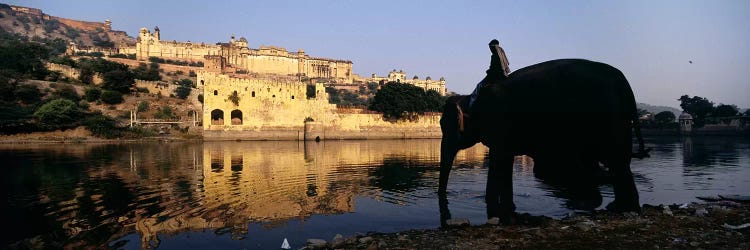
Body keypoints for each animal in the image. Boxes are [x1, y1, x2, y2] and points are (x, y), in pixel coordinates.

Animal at [440, 56, 652, 219]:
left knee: (613, 162)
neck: (470, 98)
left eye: (444, 125)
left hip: (607, 119)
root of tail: (625, 84)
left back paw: (617, 207)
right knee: (617, 163)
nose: (444, 198)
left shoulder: (499, 125)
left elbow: (500, 162)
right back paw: (619, 208)